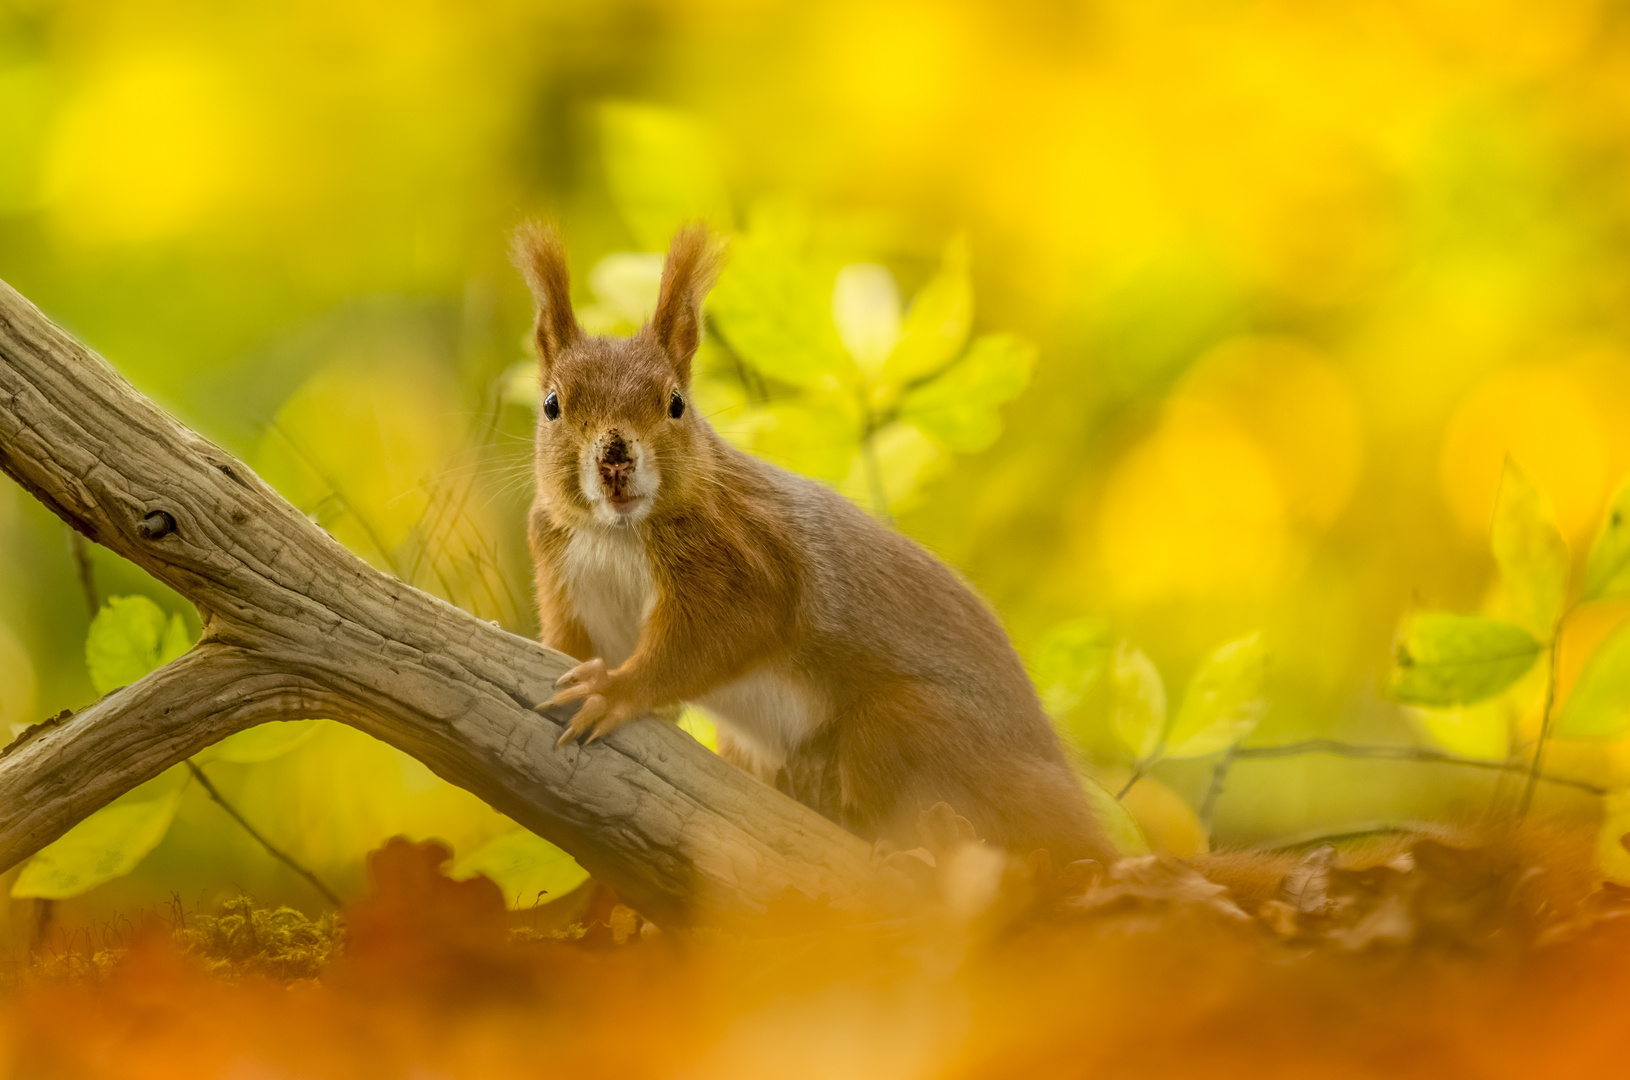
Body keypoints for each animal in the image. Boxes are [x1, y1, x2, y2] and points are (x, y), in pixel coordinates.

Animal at [515, 223, 1114, 866]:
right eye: (552, 405)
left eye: (676, 403)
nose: (615, 458)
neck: (613, 535)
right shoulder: (564, 573)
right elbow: (569, 646)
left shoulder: (747, 562)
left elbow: (716, 639)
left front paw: (617, 690)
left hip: (902, 728)